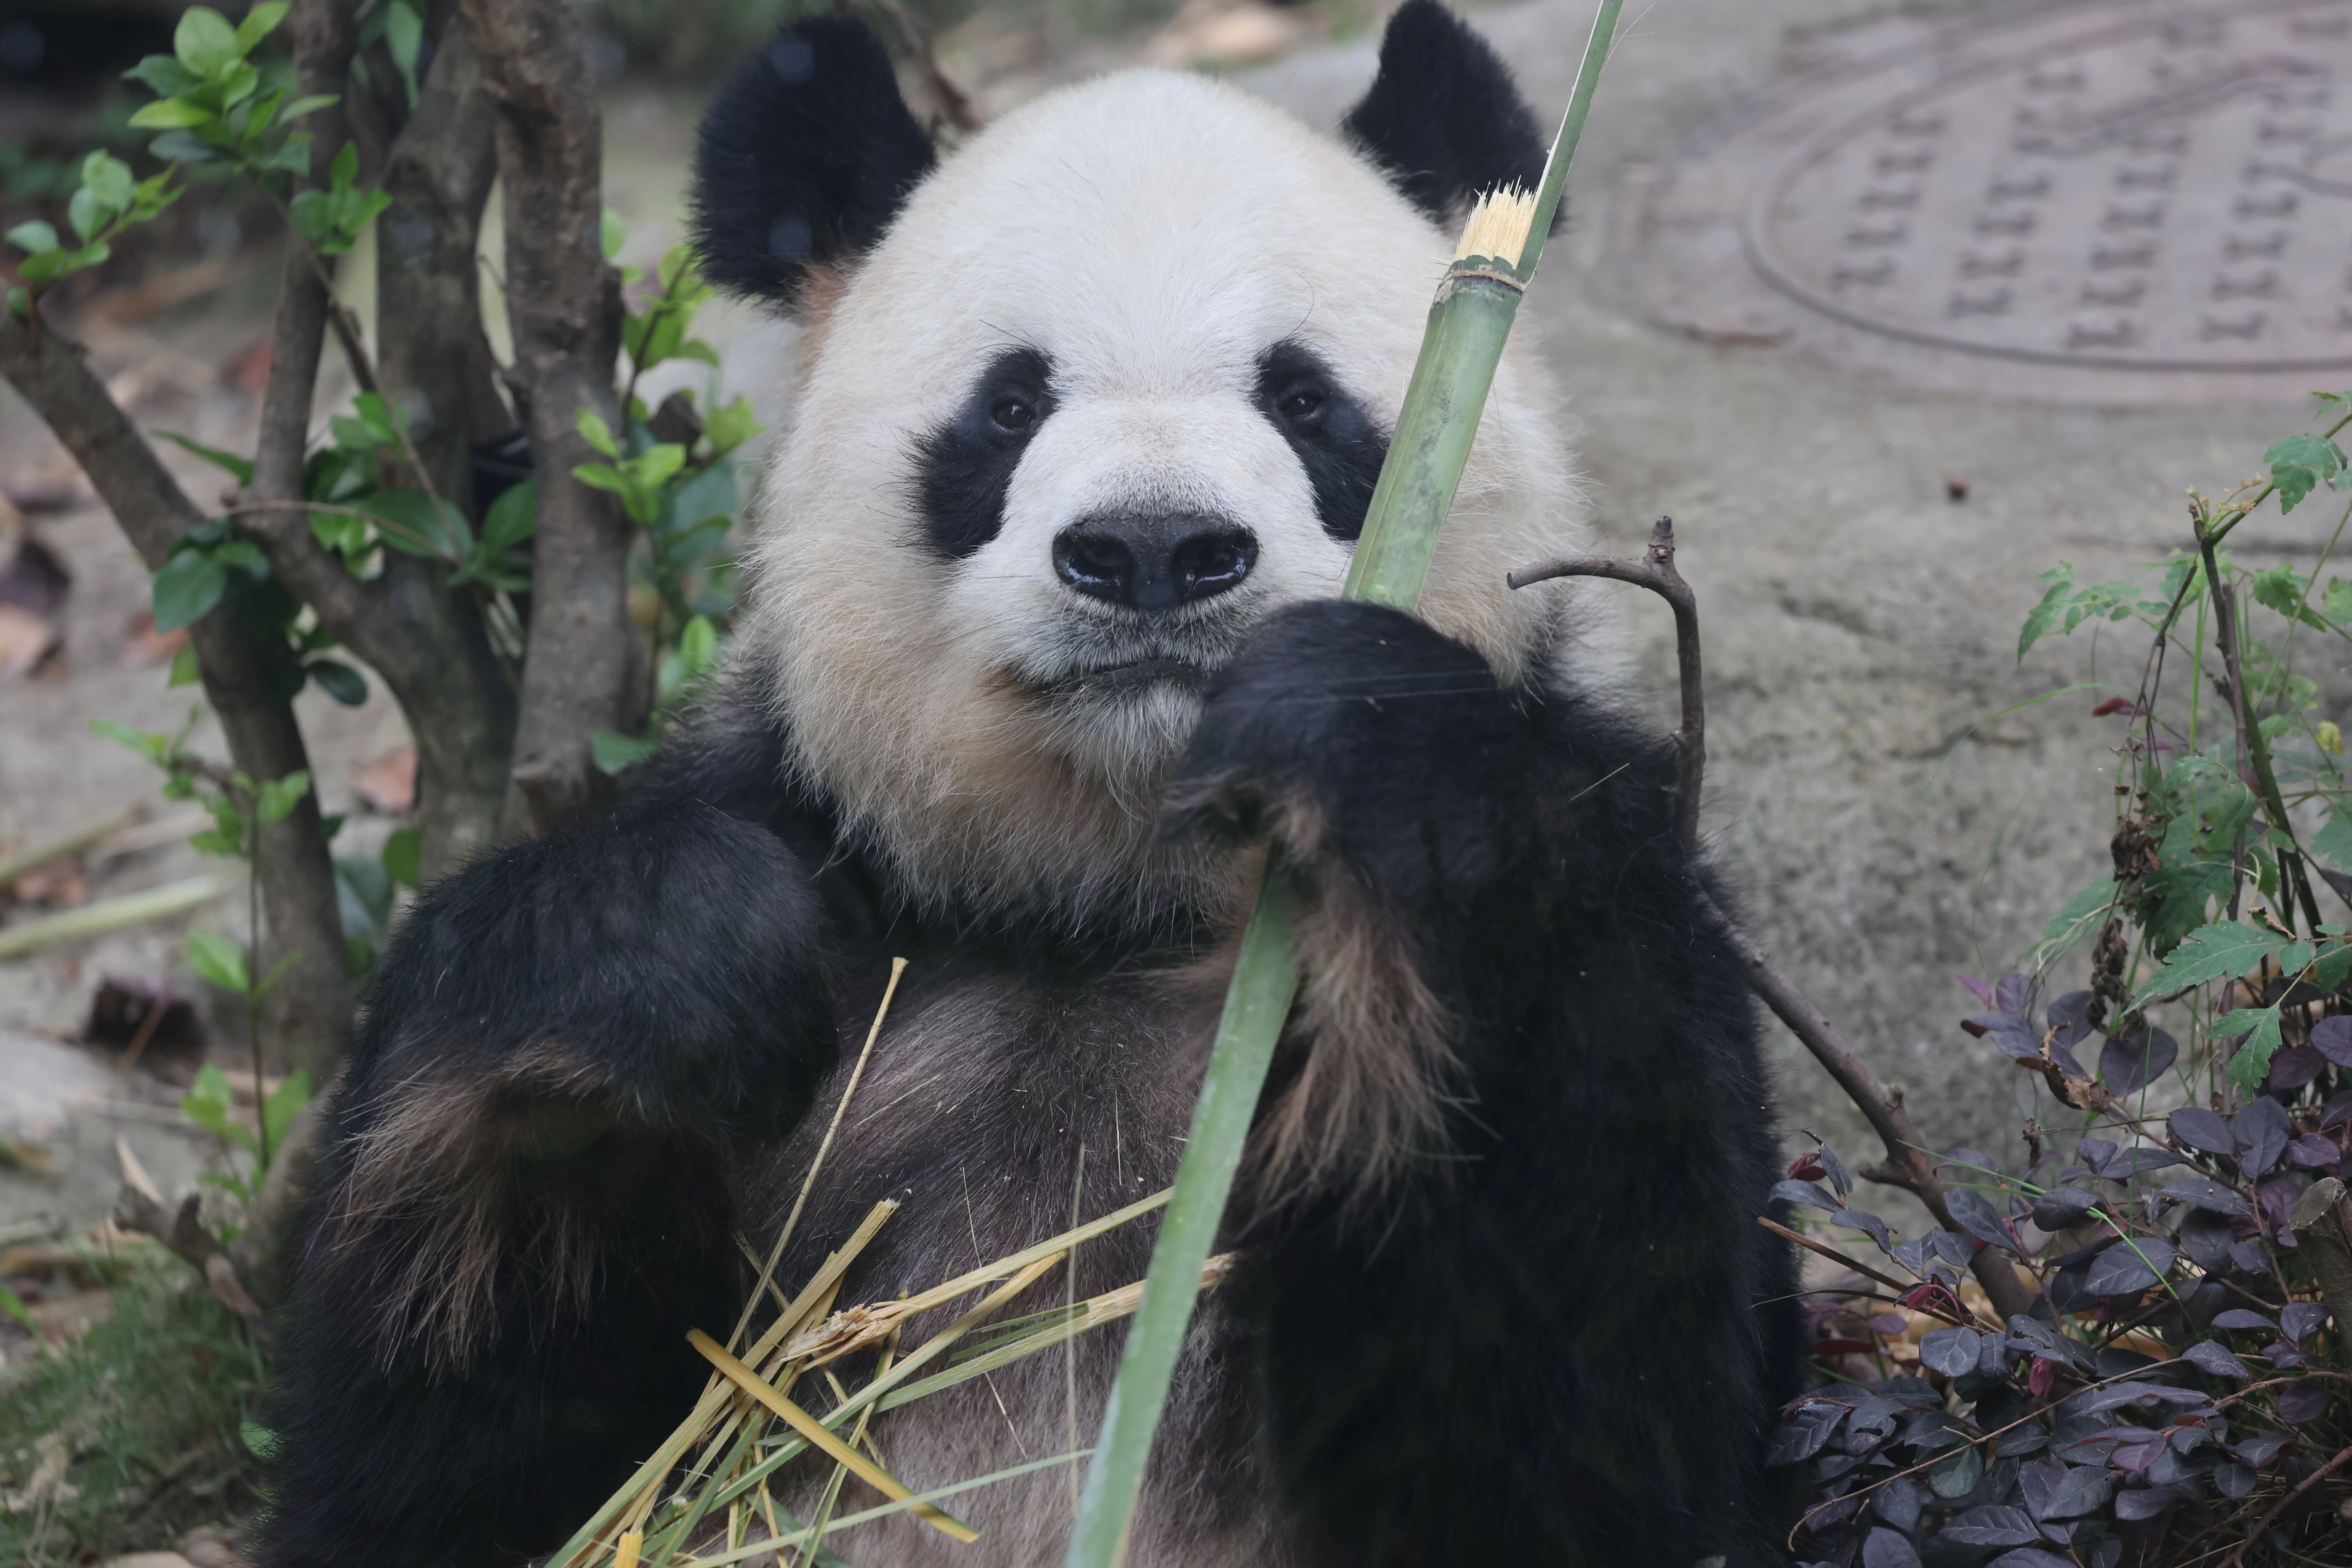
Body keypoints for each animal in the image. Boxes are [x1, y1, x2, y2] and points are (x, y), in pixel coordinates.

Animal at [255, 5, 1800, 1565]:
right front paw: (657, 958)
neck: (1102, 899)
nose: (1155, 549)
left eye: (1305, 400)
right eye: (1006, 408)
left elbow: (1610, 1413)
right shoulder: (843, 920)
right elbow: (455, 1470)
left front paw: (1370, 751)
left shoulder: (1624, 877)